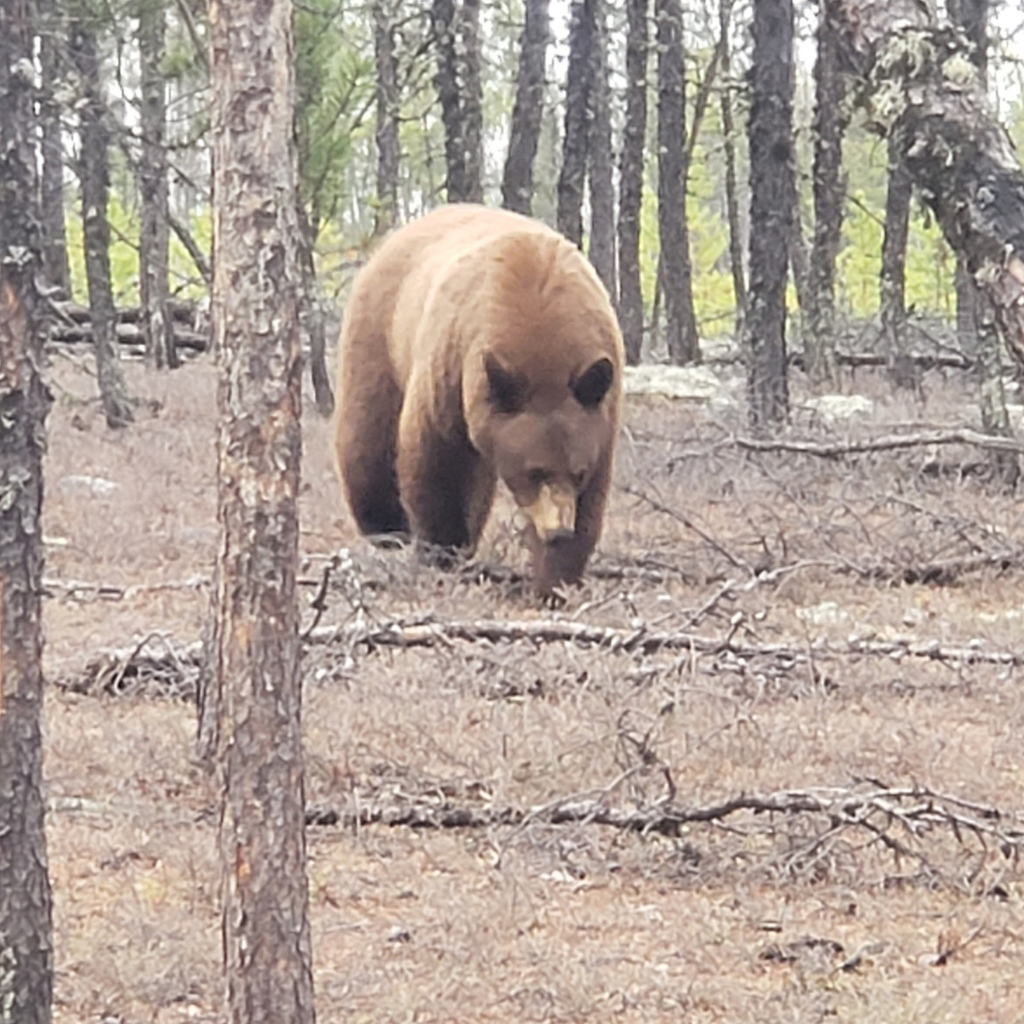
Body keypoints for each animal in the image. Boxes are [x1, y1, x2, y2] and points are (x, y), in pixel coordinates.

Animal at [335, 202, 622, 598]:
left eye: (577, 472)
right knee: (367, 440)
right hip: (379, 335)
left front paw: (555, 580)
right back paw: (385, 529)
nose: (558, 530)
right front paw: (442, 550)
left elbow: (593, 495)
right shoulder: (451, 364)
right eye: (535, 470)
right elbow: (433, 461)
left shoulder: (602, 407)